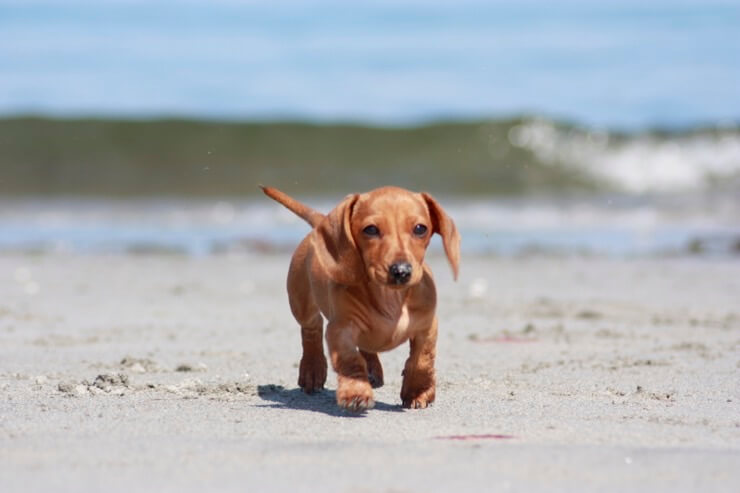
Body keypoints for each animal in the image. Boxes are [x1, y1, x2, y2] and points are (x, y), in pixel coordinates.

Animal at [260, 186, 456, 410]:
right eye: (370, 229)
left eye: (420, 228)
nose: (401, 271)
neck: (391, 298)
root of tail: (321, 220)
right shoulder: (339, 330)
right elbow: (350, 360)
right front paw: (356, 391)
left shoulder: (427, 325)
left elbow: (422, 358)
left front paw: (418, 391)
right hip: (301, 304)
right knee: (311, 329)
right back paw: (312, 369)